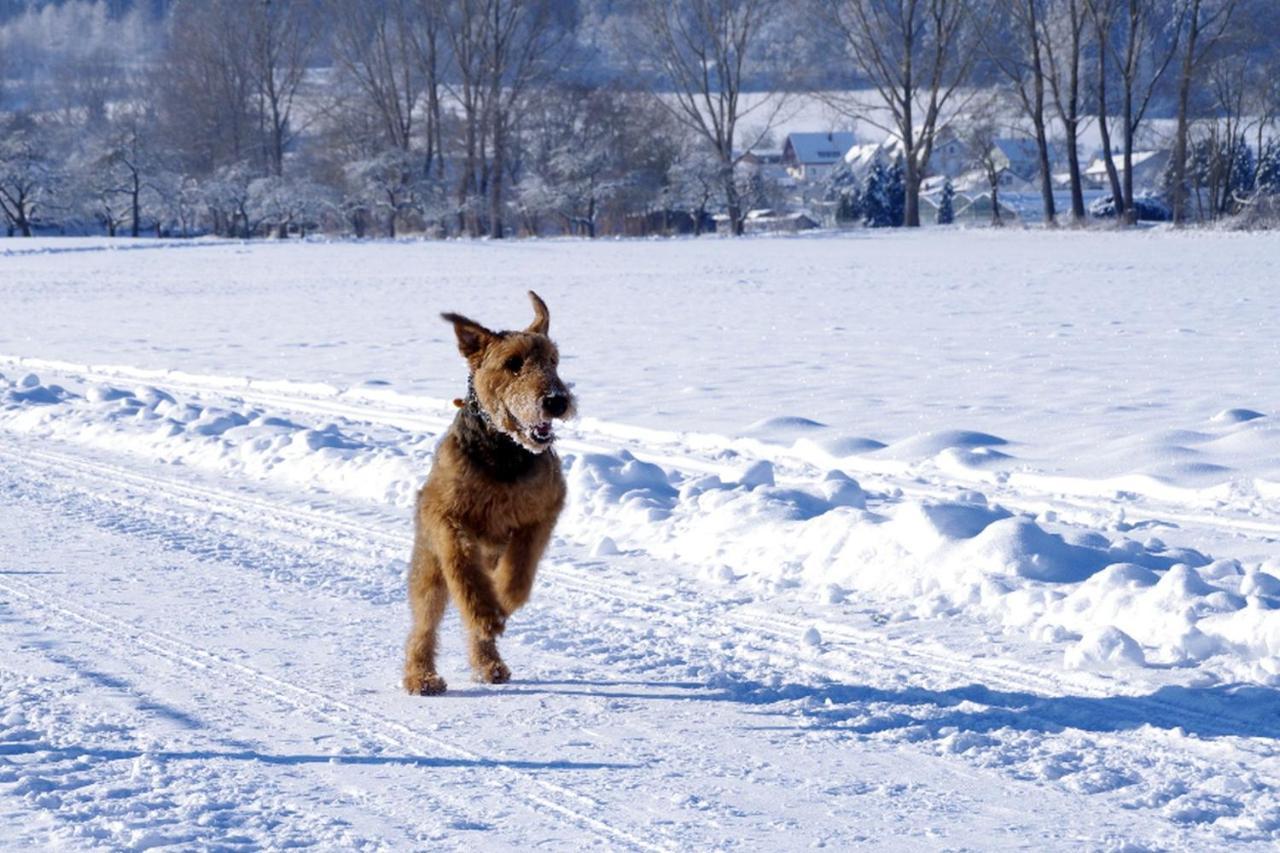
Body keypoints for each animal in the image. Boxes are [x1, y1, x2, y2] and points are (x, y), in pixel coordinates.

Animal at [404, 290, 576, 691]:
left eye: (554, 361)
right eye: (513, 363)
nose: (557, 400)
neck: (503, 452)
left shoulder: (543, 512)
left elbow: (520, 571)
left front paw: (502, 602)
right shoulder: (444, 515)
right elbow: (461, 564)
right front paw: (485, 611)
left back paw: (489, 663)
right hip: (428, 570)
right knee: (424, 625)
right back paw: (421, 676)